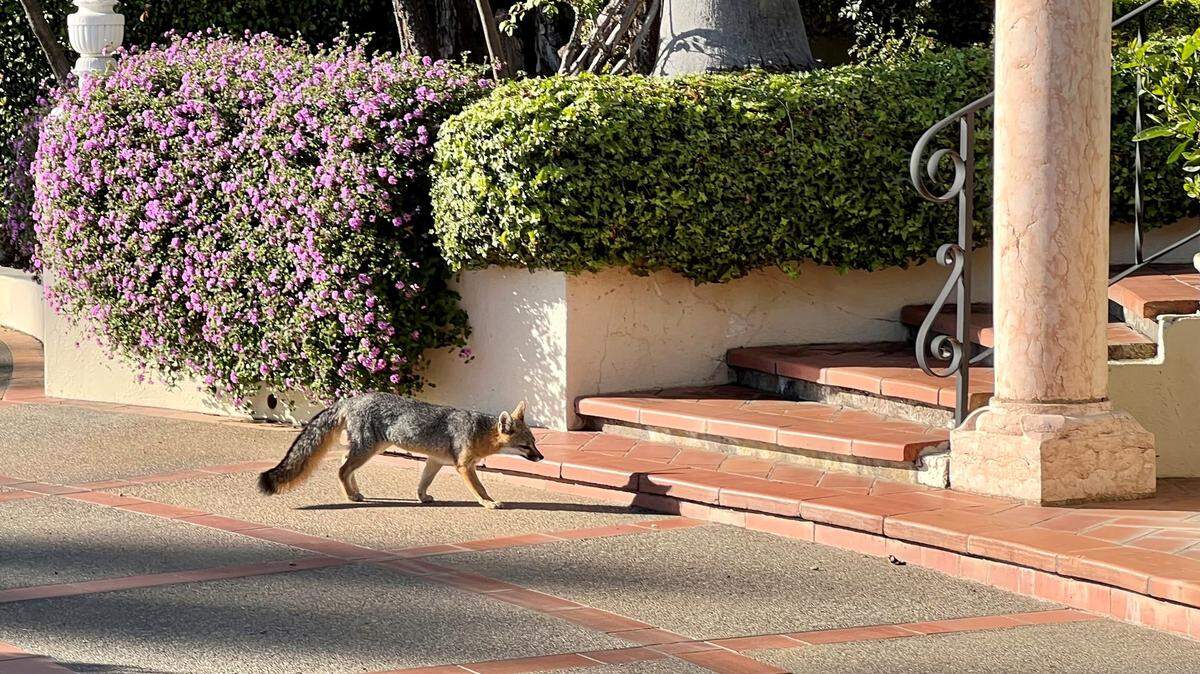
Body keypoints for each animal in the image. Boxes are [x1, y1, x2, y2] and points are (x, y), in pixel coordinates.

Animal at [257, 394, 543, 509]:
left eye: (535, 443)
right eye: (527, 446)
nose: (541, 457)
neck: (479, 430)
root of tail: (350, 399)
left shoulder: (435, 461)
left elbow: (423, 482)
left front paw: (422, 497)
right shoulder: (464, 466)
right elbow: (480, 488)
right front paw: (489, 502)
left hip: (369, 449)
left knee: (344, 465)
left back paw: (355, 492)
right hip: (368, 449)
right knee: (341, 468)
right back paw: (350, 496)